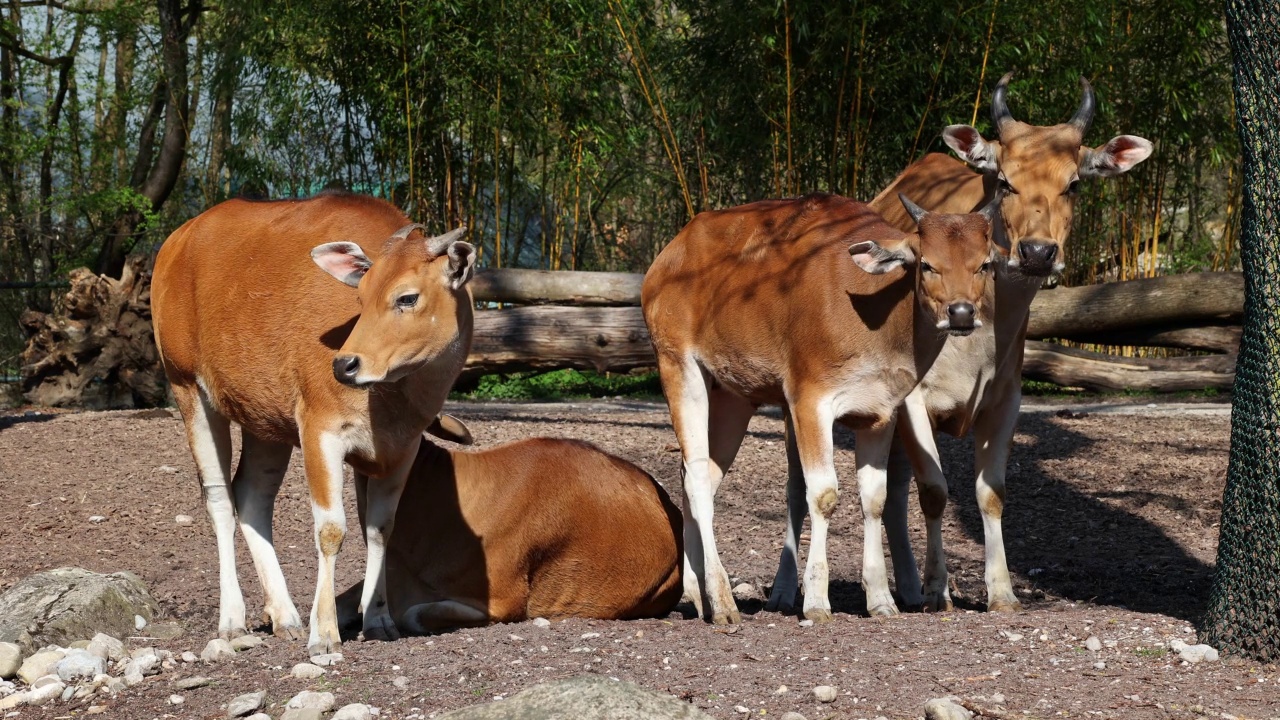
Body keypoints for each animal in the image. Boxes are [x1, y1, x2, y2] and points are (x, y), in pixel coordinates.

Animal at [149, 190, 478, 650]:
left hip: (264, 418)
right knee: (219, 500)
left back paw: (284, 614)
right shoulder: (320, 429)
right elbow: (331, 530)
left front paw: (378, 619)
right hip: (188, 389)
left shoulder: (402, 447)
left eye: (406, 297)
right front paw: (324, 633)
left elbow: (380, 529)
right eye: (361, 298)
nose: (345, 365)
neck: (394, 401)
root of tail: (175, 243)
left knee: (252, 496)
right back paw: (232, 618)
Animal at [645, 190, 1003, 622]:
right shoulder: (808, 398)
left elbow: (875, 498)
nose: (961, 312)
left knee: (695, 475)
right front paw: (815, 599)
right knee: (697, 475)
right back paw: (723, 601)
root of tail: (667, 259)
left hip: (732, 394)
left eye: (983, 264)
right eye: (927, 264)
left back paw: (698, 594)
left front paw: (880, 598)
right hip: (677, 364)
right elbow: (823, 494)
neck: (873, 320)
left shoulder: (881, 411)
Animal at [834, 74, 1157, 609]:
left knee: (895, 490)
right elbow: (935, 491)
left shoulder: (1006, 401)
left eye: (1074, 183)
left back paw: (907, 583)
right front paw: (939, 587)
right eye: (1005, 180)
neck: (979, 332)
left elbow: (991, 493)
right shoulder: (914, 402)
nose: (1037, 252)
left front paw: (1001, 589)